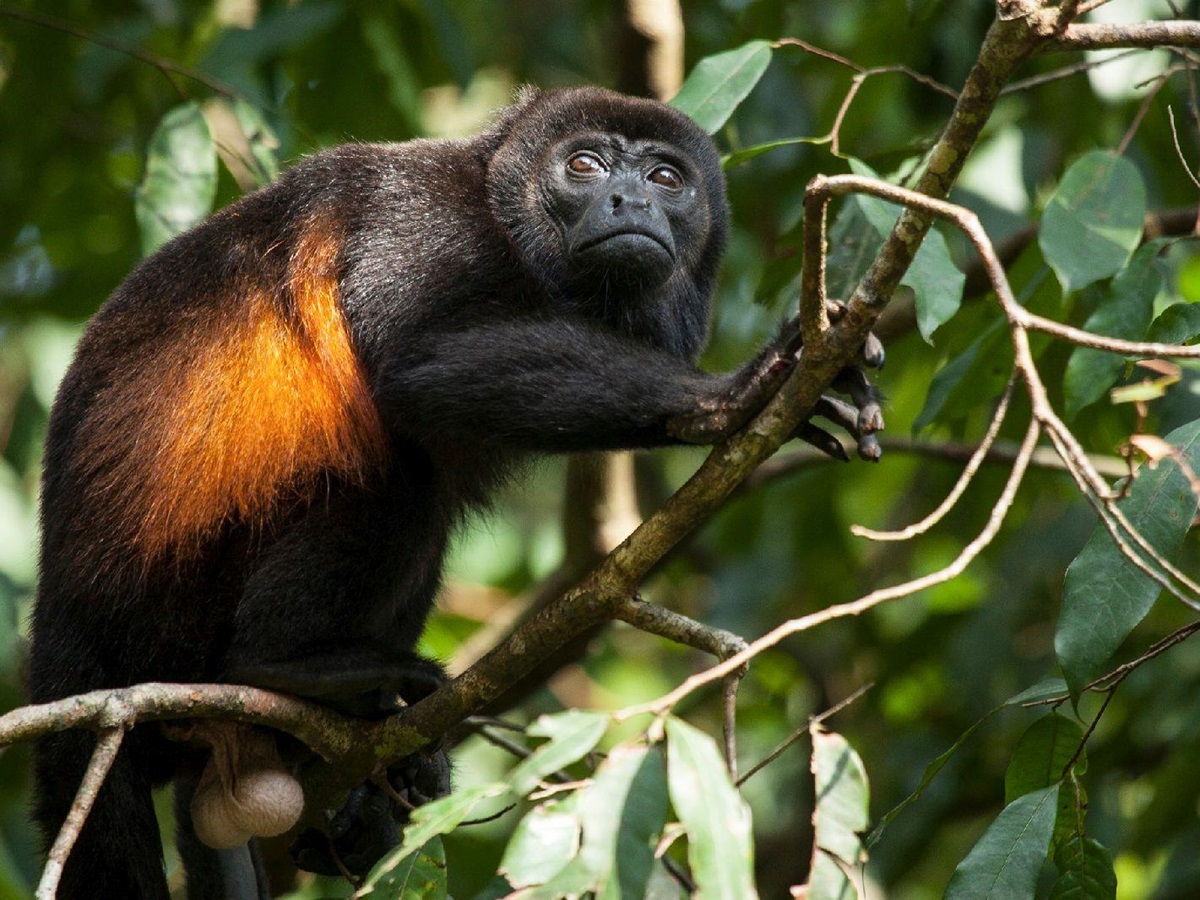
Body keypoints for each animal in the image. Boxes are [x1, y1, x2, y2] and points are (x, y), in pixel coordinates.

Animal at [27, 86, 882, 899]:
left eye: (667, 179)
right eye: (586, 166)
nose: (630, 201)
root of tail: (65, 630)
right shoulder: (422, 219)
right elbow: (420, 361)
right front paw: (733, 393)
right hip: (170, 609)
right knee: (398, 479)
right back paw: (285, 665)